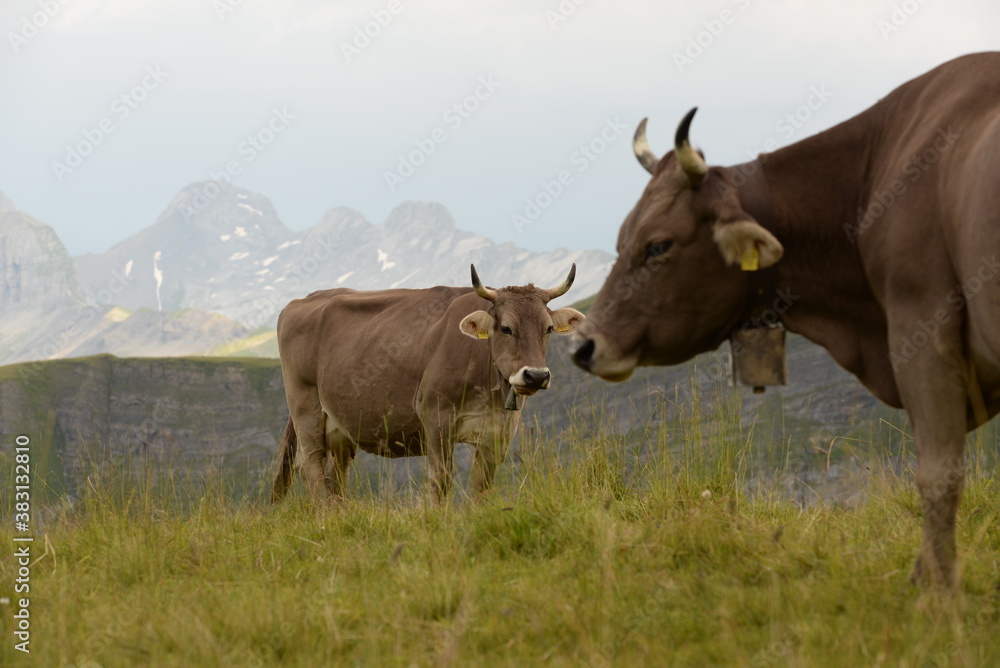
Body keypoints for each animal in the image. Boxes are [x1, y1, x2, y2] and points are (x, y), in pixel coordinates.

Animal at [272, 264, 584, 504]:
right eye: (506, 328)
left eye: (548, 328)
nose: (536, 375)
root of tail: (304, 299)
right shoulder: (436, 419)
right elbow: (441, 481)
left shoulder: (499, 432)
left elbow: (481, 486)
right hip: (306, 408)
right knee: (310, 466)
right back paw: (324, 517)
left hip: (340, 427)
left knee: (335, 475)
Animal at [572, 52, 1000, 584]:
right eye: (620, 237)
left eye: (657, 245)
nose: (582, 345)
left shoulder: (922, 332)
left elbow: (938, 476)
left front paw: (935, 595)